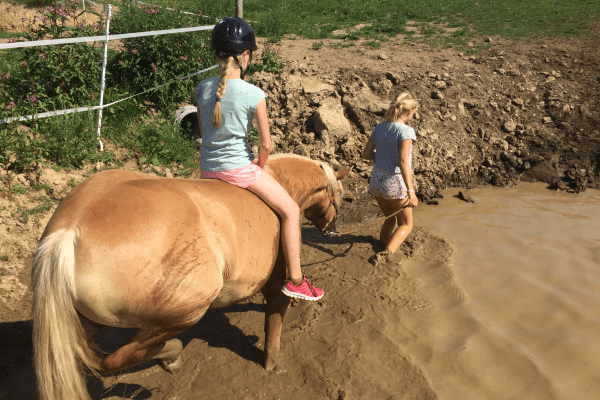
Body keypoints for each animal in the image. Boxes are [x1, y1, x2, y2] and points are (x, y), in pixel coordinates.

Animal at [32, 154, 350, 400]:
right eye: (342, 196)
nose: (332, 229)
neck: (283, 183)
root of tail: (71, 230)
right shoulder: (275, 286)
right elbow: (274, 326)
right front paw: (271, 366)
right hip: (186, 312)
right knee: (116, 358)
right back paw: (171, 355)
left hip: (88, 321)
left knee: (91, 357)